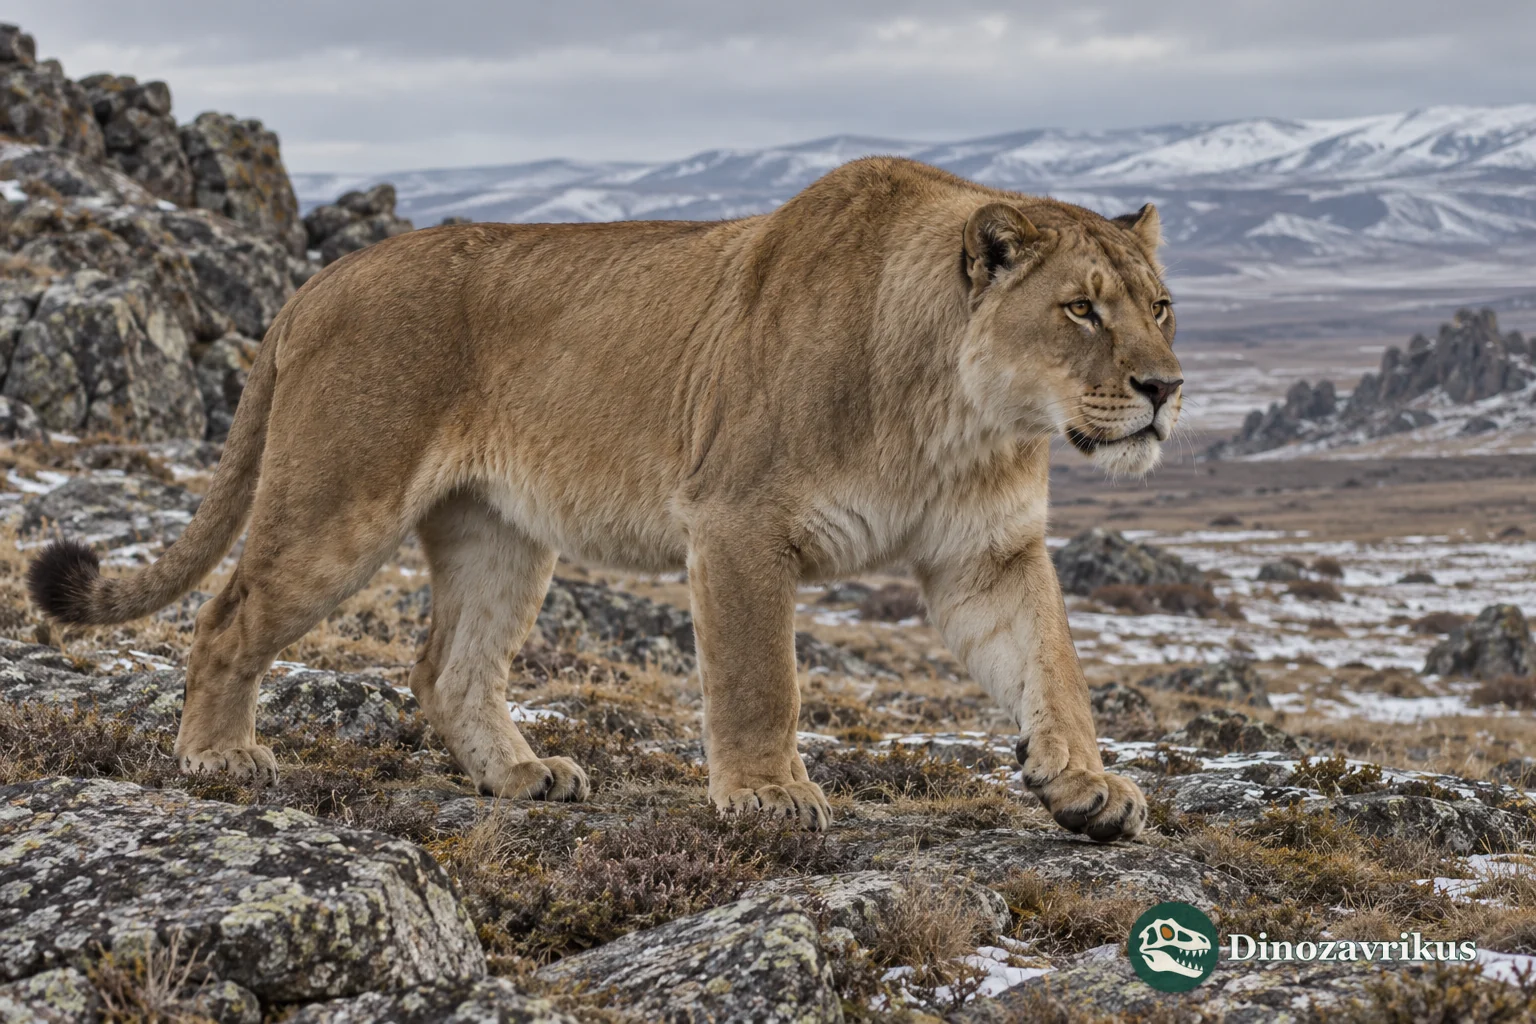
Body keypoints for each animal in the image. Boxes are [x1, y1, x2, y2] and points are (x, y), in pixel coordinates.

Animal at [28, 157, 1181, 841]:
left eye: (1161, 306)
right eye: (1081, 309)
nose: (1168, 389)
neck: (959, 415)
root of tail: (318, 282)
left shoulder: (986, 553)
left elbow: (1054, 665)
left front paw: (1086, 787)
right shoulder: (738, 520)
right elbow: (760, 678)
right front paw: (769, 794)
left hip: (501, 534)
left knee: (448, 668)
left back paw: (522, 775)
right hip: (339, 503)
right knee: (229, 615)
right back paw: (219, 756)